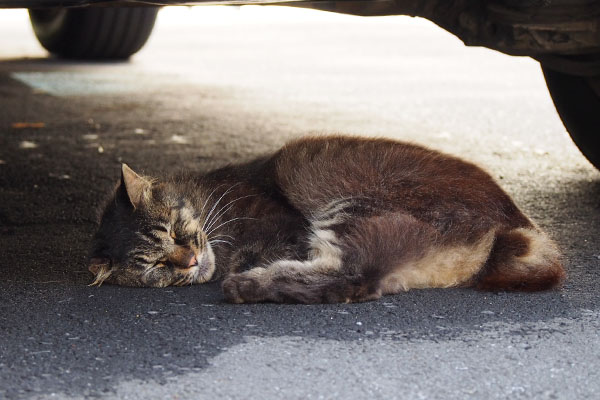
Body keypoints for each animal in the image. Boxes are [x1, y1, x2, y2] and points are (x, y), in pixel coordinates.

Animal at [86, 135, 564, 304]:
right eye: (156, 265)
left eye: (173, 231)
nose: (188, 261)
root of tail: (515, 221)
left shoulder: (289, 230)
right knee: (357, 284)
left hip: (351, 210)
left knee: (352, 277)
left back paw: (246, 286)